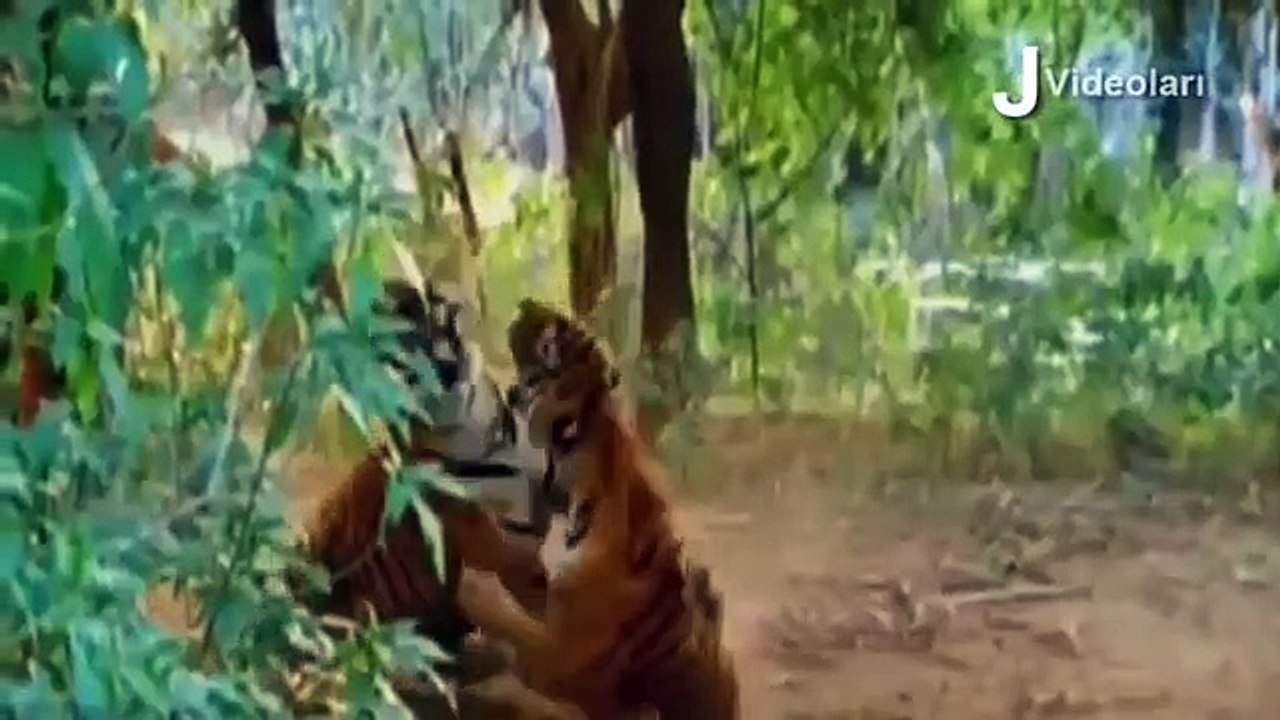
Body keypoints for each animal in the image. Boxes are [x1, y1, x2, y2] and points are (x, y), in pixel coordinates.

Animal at [457, 298, 739, 720]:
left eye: (555, 335)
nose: (525, 304)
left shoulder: (560, 654)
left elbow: (498, 610)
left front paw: (470, 585)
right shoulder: (547, 597)